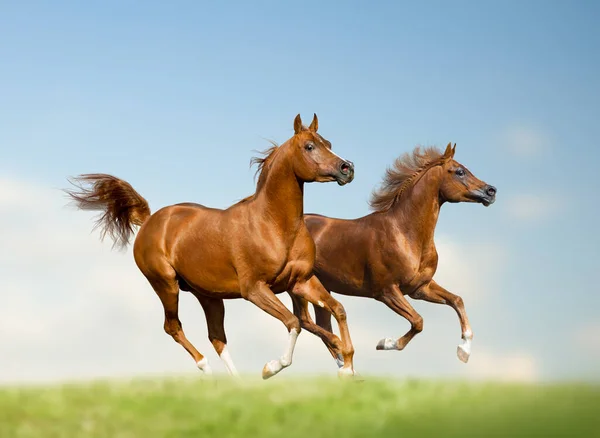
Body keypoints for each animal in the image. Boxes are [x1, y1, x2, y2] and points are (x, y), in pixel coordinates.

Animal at [66, 114, 358, 378]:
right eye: (309, 146)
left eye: (328, 142)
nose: (347, 168)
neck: (273, 225)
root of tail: (149, 220)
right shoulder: (254, 289)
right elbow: (293, 322)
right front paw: (270, 368)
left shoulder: (301, 281)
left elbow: (338, 311)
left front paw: (347, 366)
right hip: (165, 284)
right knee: (173, 327)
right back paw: (206, 368)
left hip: (209, 295)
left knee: (217, 337)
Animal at [304, 143, 496, 366]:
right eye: (459, 171)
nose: (491, 191)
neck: (404, 233)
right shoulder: (387, 291)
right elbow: (418, 321)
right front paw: (385, 343)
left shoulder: (420, 288)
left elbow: (457, 300)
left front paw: (463, 350)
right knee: (309, 322)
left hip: (321, 289)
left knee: (322, 324)